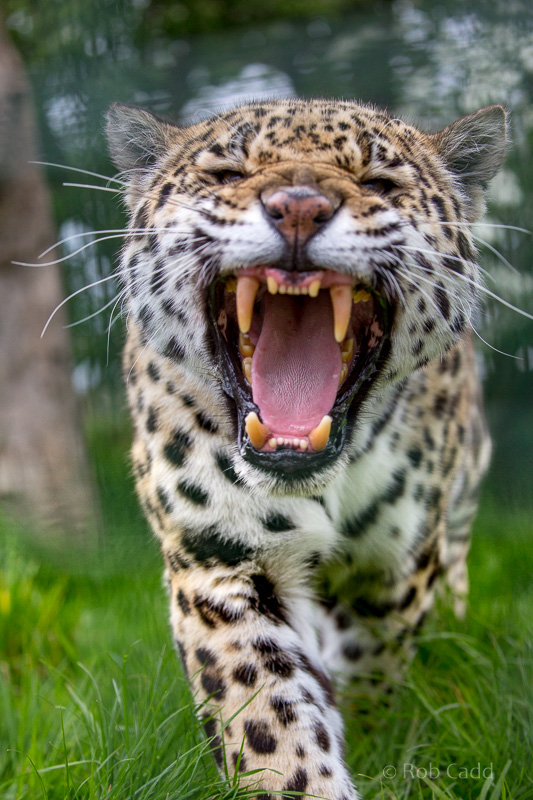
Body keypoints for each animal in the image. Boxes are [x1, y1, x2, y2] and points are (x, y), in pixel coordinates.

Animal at [105, 97, 506, 799]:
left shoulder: (394, 570)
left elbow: (374, 664)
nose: (298, 207)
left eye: (379, 183)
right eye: (228, 173)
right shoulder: (217, 560)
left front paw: (370, 732)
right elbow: (266, 717)